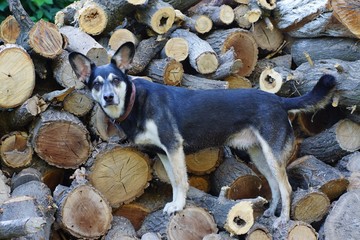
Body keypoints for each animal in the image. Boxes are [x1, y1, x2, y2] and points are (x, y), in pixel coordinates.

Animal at [69, 41, 334, 227]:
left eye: (115, 80)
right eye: (96, 84)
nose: (108, 97)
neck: (135, 103)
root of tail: (279, 100)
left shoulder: (174, 147)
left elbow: (181, 181)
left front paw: (179, 207)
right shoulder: (164, 152)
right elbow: (174, 181)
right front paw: (175, 204)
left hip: (272, 153)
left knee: (287, 188)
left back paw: (283, 220)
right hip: (259, 154)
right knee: (274, 184)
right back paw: (270, 212)